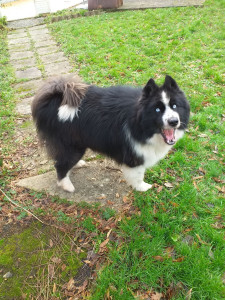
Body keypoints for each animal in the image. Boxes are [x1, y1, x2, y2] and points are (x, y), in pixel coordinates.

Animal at [31, 75, 190, 192]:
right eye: (157, 109)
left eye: (174, 106)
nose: (174, 121)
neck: (139, 122)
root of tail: (53, 99)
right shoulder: (134, 154)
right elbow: (138, 174)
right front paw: (142, 187)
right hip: (72, 146)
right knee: (60, 165)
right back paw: (67, 186)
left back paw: (77, 165)